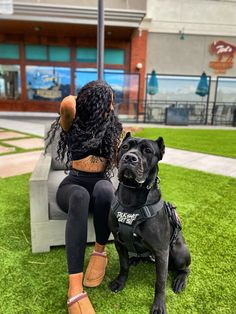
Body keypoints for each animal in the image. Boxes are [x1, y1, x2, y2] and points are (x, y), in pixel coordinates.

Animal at [108, 133, 190, 314]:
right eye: (125, 147)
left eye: (147, 151)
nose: (130, 157)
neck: (132, 195)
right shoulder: (118, 242)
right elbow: (123, 266)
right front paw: (120, 282)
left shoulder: (161, 251)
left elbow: (160, 282)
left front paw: (159, 305)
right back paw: (135, 259)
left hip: (178, 251)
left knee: (185, 269)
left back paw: (180, 280)